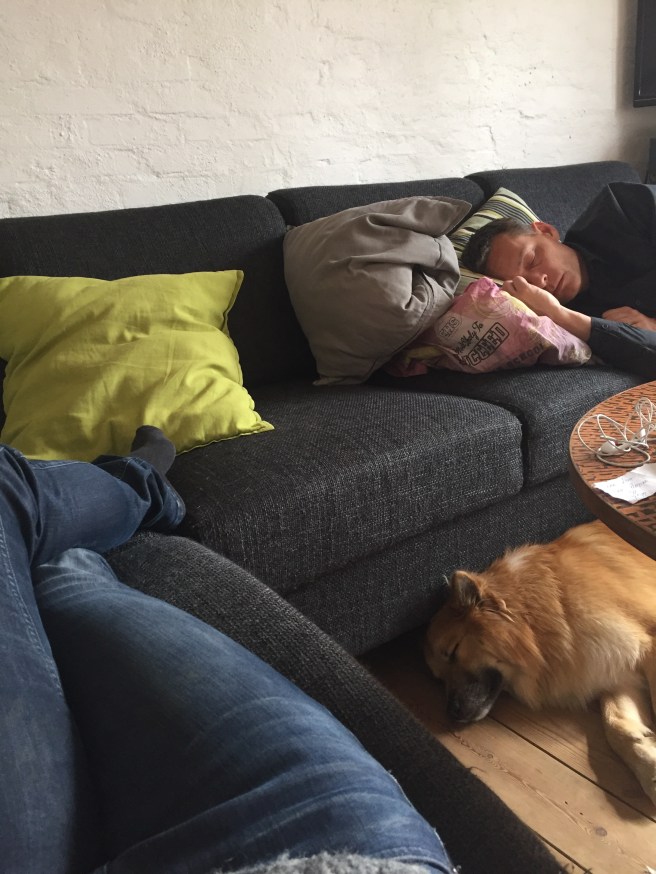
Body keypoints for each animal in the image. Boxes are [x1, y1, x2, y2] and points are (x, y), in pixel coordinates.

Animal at [423, 519, 656, 805]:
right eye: (439, 678)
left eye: (454, 651)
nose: (452, 713)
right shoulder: (616, 673)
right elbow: (617, 726)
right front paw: (648, 768)